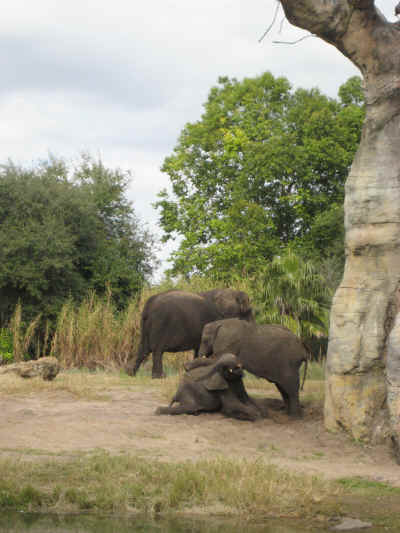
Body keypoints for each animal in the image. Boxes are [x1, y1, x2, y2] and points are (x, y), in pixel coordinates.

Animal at [126, 286, 255, 378]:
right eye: (248, 311)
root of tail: (149, 303)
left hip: (145, 324)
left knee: (144, 348)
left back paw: (131, 373)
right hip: (160, 323)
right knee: (157, 349)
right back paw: (159, 377)